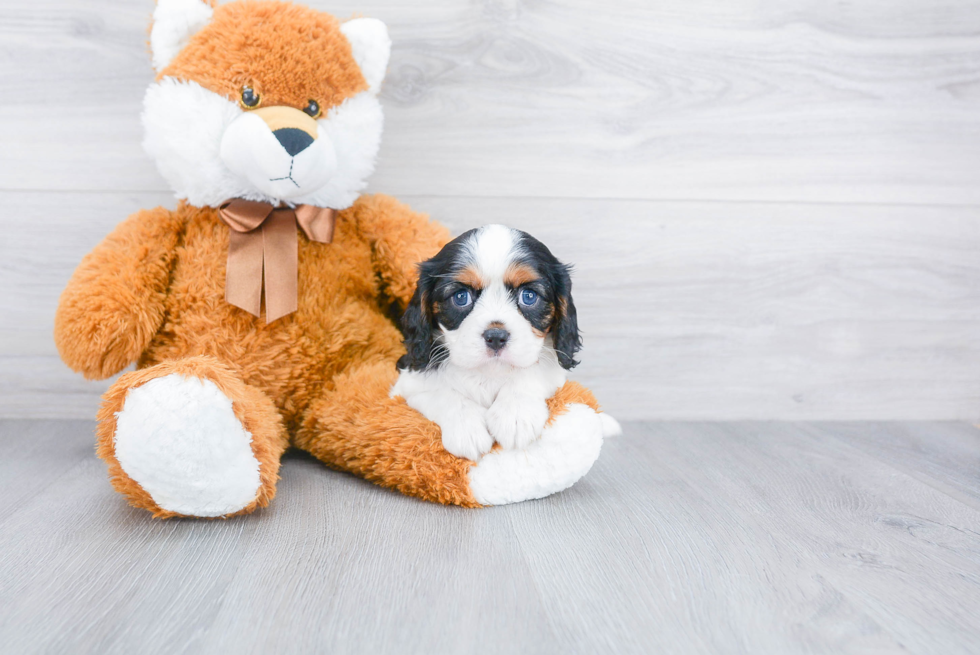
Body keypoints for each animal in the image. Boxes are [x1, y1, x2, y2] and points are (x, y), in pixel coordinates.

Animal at [390, 226, 584, 462]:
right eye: (461, 297)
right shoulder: (409, 382)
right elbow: (441, 393)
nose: (496, 336)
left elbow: (532, 370)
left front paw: (516, 413)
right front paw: (467, 428)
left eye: (529, 296)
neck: (489, 373)